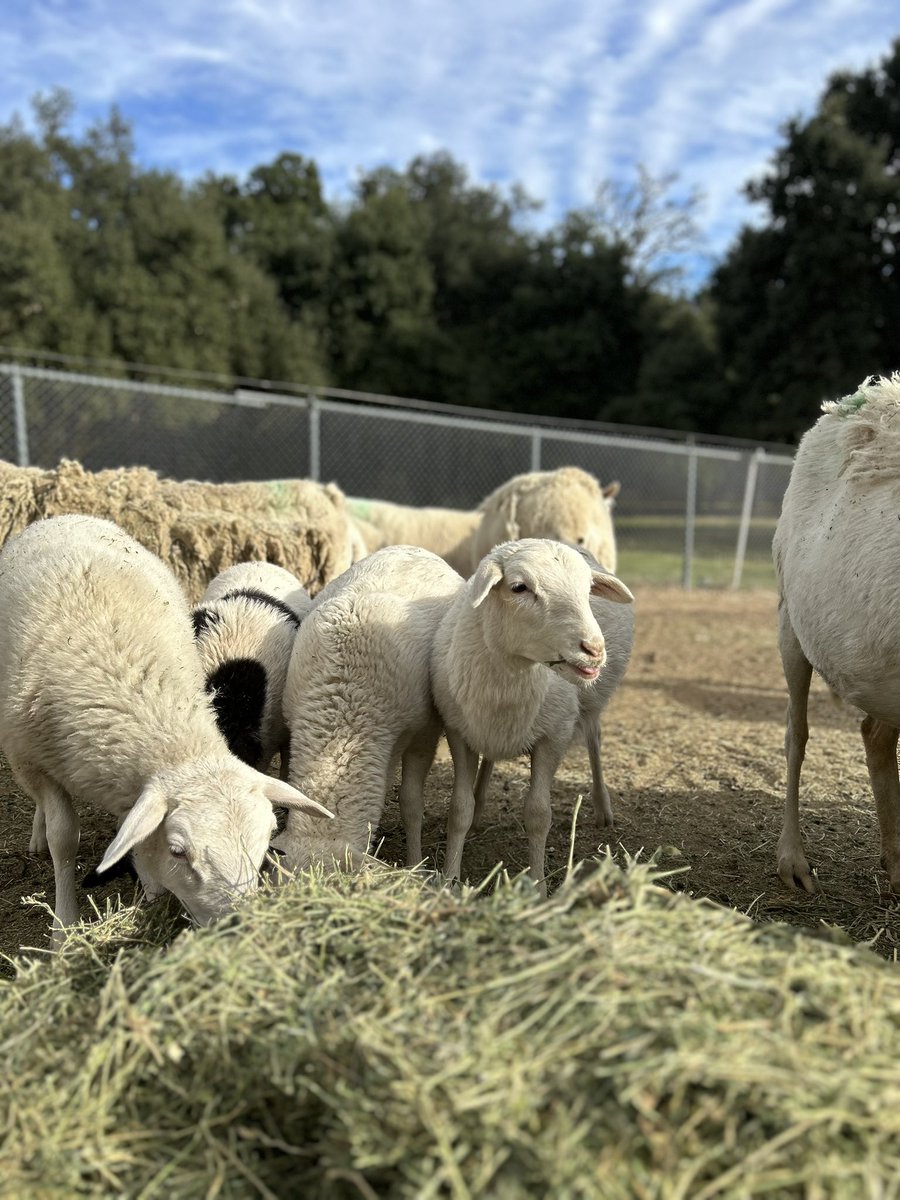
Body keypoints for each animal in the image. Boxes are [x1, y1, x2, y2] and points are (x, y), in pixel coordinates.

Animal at [430, 538, 634, 893]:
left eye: (588, 590)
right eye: (519, 587)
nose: (594, 649)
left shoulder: (554, 735)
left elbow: (538, 815)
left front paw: (537, 885)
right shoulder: (459, 731)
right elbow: (459, 809)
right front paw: (450, 878)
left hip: (592, 702)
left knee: (594, 739)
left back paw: (602, 807)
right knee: (490, 759)